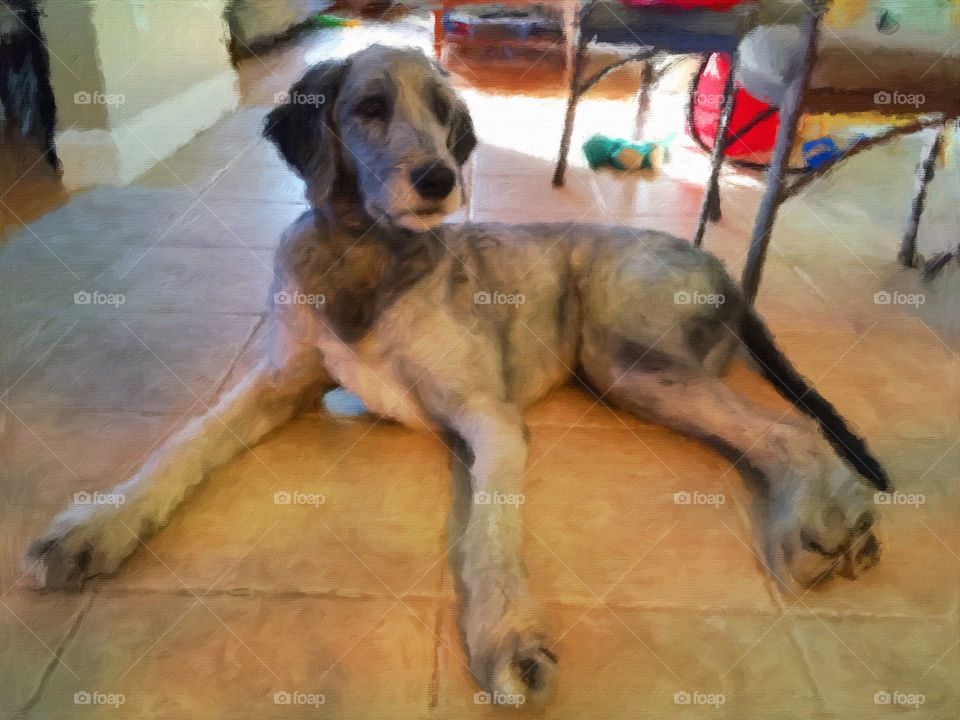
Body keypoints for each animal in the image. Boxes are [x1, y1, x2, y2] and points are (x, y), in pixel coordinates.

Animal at [24, 43, 892, 704]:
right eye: (370, 107)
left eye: (446, 116)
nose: (441, 178)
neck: (368, 255)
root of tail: (723, 267)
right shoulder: (277, 381)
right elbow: (188, 440)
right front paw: (93, 528)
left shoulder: (491, 419)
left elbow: (488, 537)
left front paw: (506, 635)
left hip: (624, 355)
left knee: (788, 427)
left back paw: (815, 526)